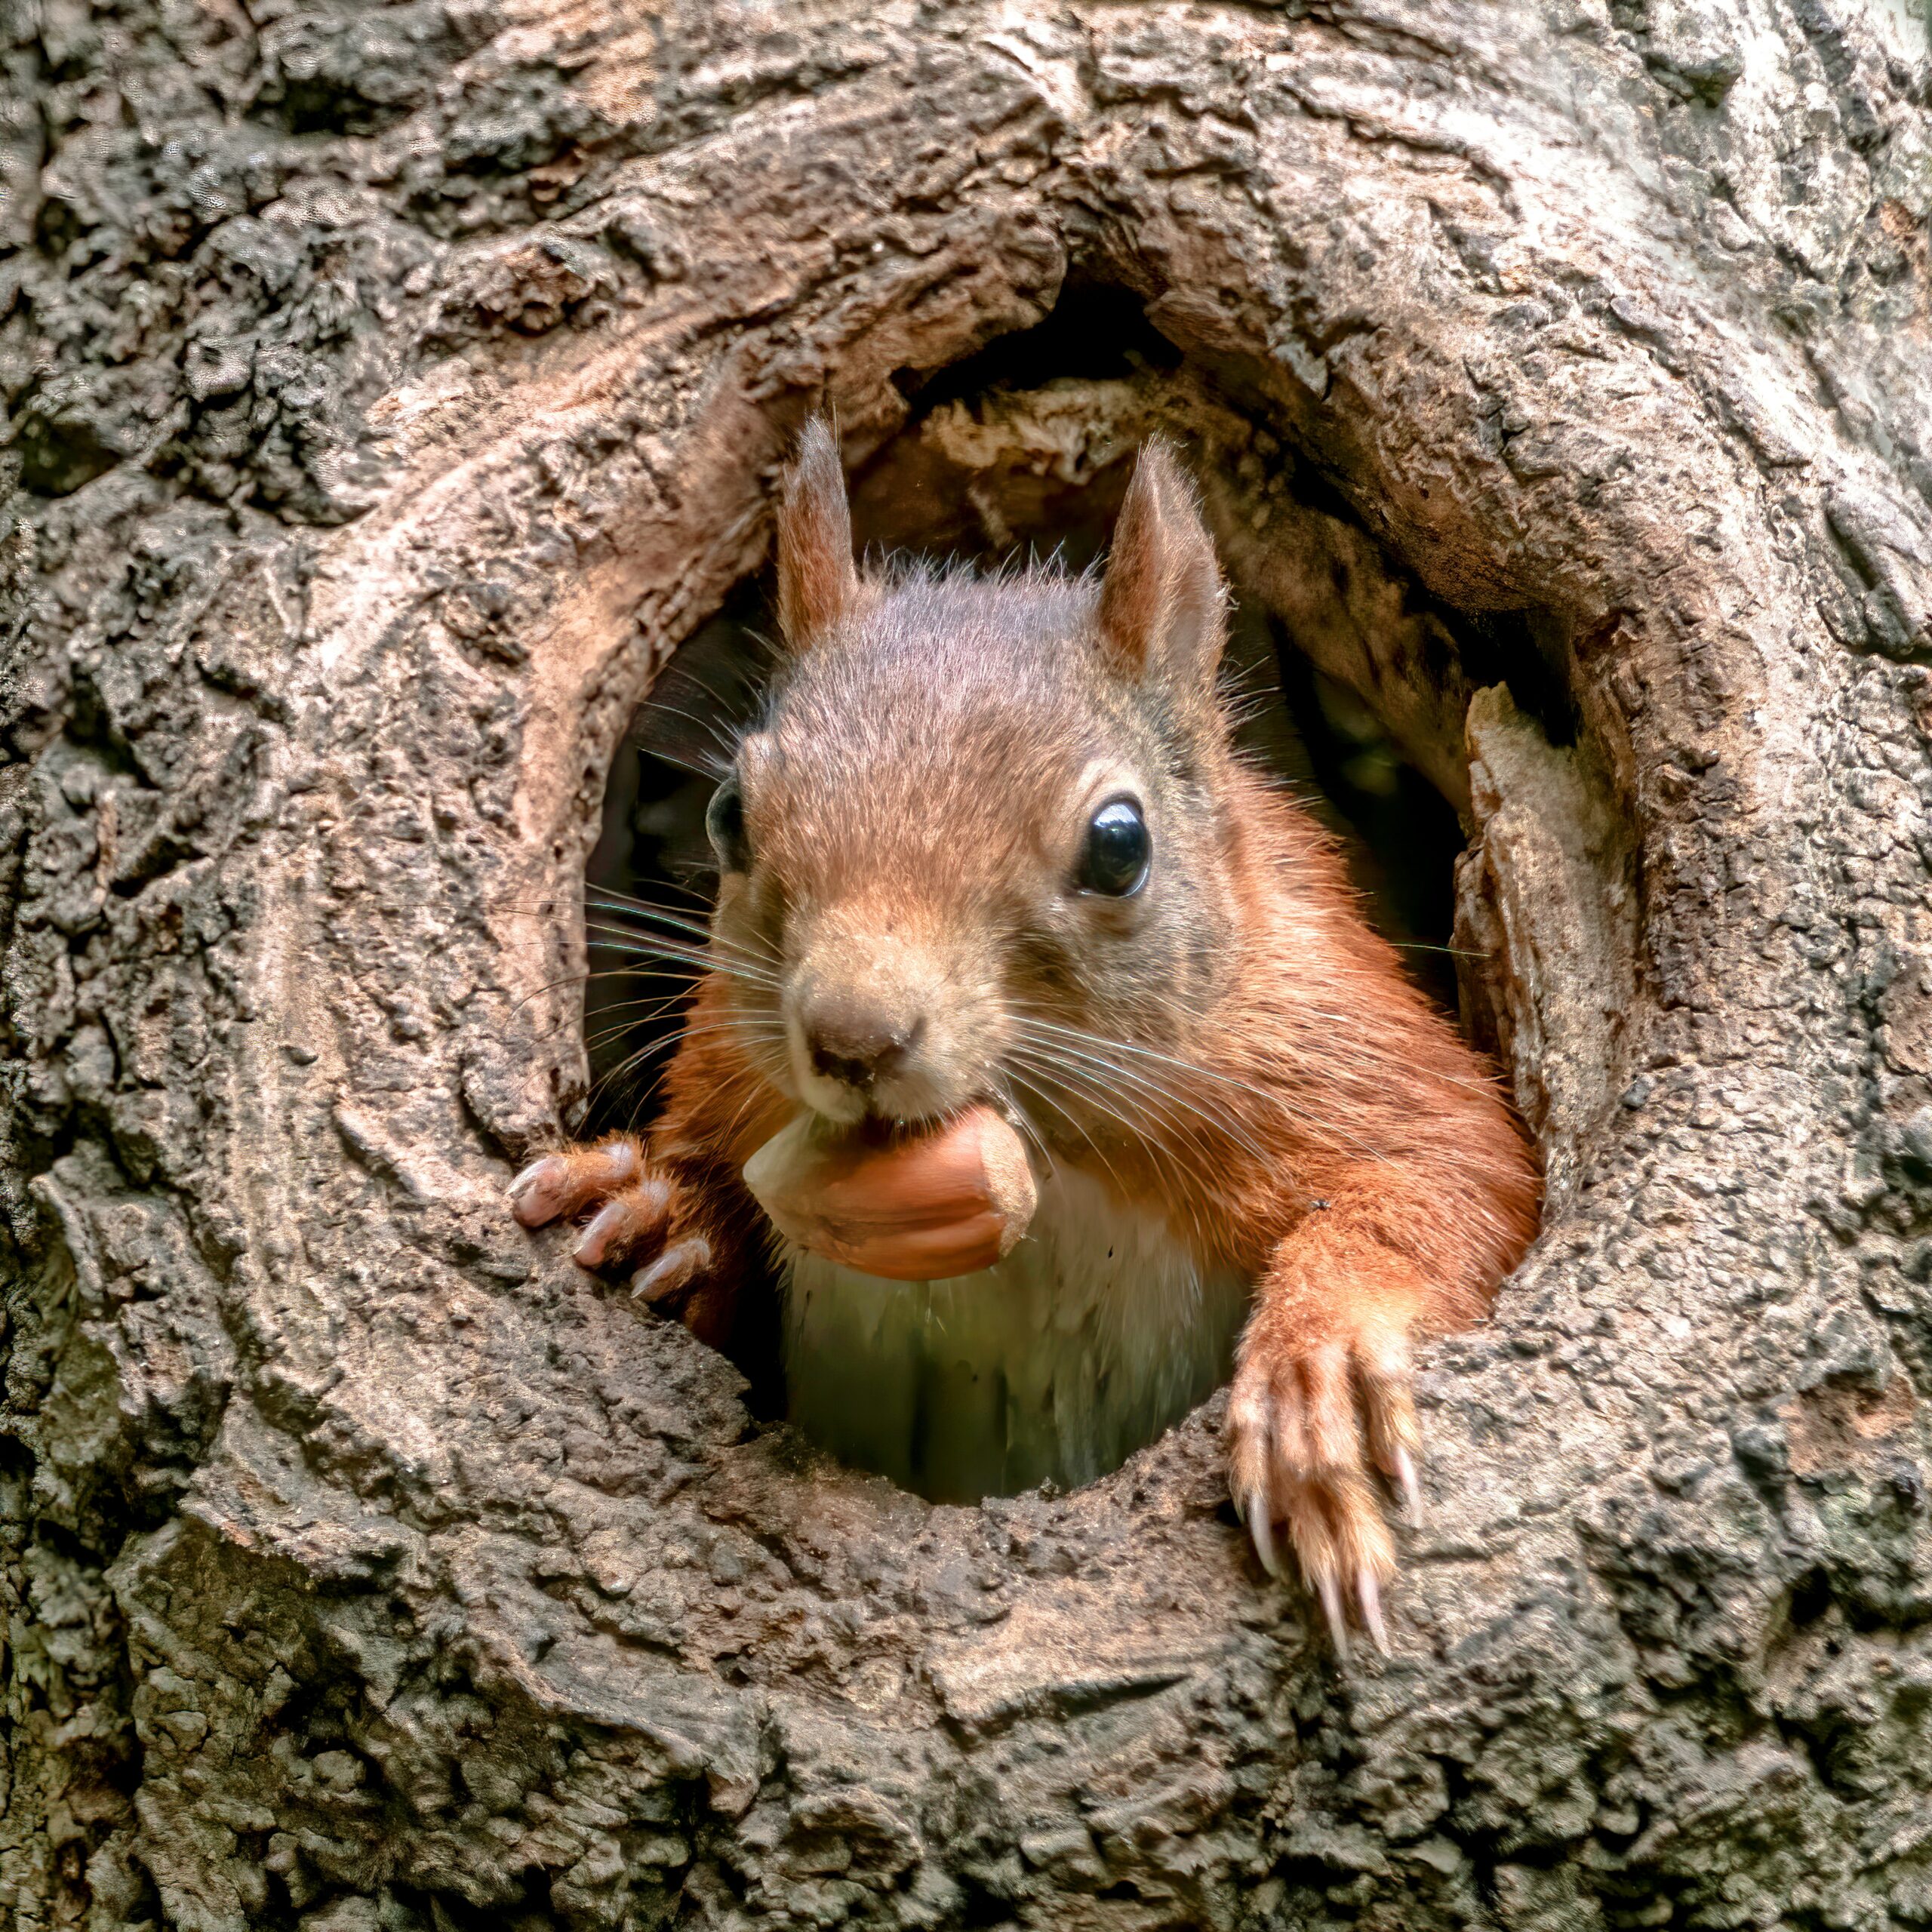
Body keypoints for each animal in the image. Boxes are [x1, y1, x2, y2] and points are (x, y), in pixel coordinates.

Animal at [511, 420, 1541, 1651]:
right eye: (730, 816)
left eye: (1120, 844)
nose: (852, 1037)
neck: (1054, 1155)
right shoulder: (731, 1062)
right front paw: (664, 1210)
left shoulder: (1334, 1039)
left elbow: (1456, 1180)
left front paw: (1319, 1368)